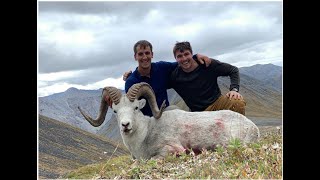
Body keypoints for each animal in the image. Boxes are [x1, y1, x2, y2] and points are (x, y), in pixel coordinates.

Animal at [78, 82, 260, 160]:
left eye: (136, 108)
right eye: (115, 111)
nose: (125, 125)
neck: (145, 135)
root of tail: (253, 128)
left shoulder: (171, 150)